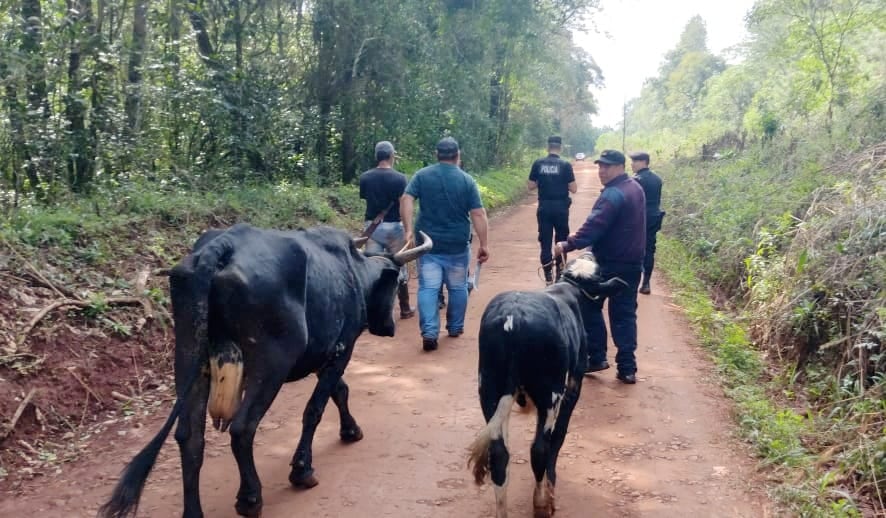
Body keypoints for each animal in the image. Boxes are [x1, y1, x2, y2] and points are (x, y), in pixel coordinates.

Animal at [100, 224, 434, 518]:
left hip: (187, 358)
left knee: (189, 437)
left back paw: (193, 511)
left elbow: (340, 391)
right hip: (271, 363)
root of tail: (221, 247)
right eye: (398, 284)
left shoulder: (322, 354)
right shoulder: (342, 349)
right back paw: (250, 498)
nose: (390, 326)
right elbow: (316, 408)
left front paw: (350, 430)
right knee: (242, 428)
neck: (353, 272)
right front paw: (302, 469)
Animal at [468, 255, 628, 518]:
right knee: (539, 449)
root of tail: (513, 318)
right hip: (548, 393)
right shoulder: (573, 383)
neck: (570, 289)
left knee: (499, 454)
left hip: (489, 390)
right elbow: (559, 435)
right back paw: (543, 503)